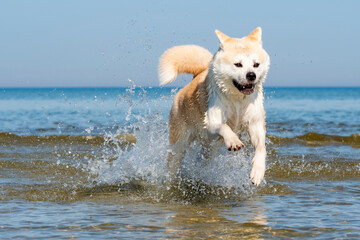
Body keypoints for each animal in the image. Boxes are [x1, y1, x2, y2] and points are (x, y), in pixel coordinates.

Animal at [158, 27, 270, 186]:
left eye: (256, 64)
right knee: (174, 163)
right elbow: (224, 126)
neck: (237, 99)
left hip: (209, 150)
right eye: (238, 64)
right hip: (179, 145)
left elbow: (261, 147)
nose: (251, 75)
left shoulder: (255, 124)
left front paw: (258, 172)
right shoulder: (210, 125)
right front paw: (233, 140)